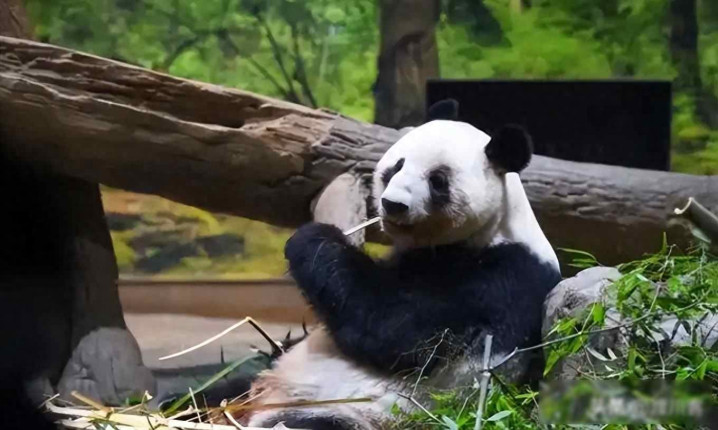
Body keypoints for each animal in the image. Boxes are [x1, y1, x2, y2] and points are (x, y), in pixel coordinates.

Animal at [242, 100, 562, 430]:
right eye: (397, 166)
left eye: (437, 181)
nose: (393, 204)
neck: (495, 228)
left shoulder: (499, 279)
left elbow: (397, 331)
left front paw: (312, 239)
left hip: (348, 412)